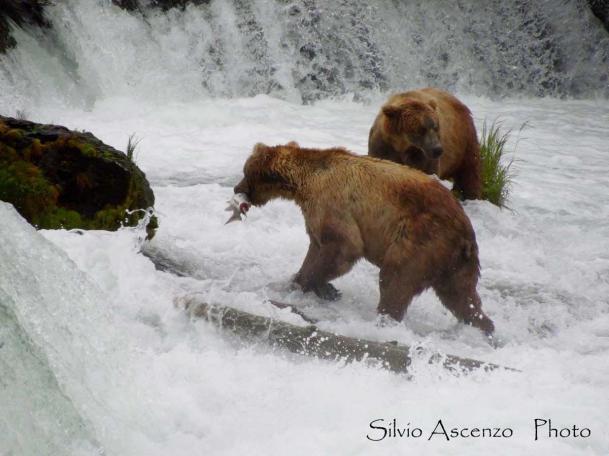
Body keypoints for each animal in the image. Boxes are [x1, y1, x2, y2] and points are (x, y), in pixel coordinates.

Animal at [233, 141, 494, 336]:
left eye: (246, 173)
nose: (236, 188)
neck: (305, 183)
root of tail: (465, 232)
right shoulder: (315, 214)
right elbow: (316, 247)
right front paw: (309, 283)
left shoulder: (332, 203)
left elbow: (342, 247)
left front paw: (314, 284)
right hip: (456, 262)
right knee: (462, 297)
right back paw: (483, 328)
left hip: (421, 238)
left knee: (396, 278)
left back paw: (384, 320)